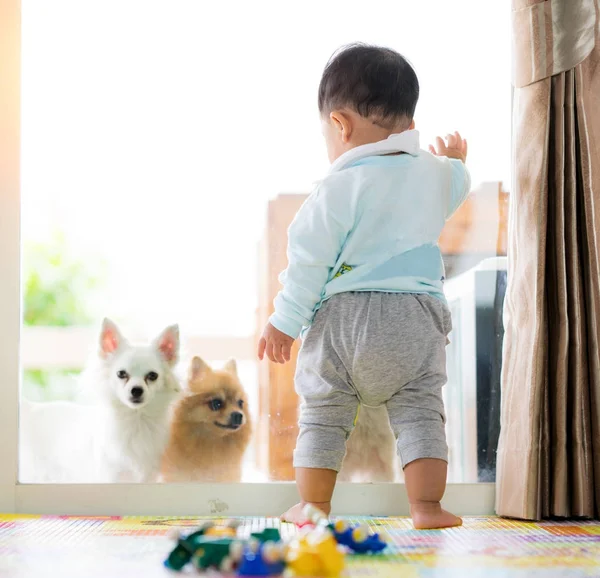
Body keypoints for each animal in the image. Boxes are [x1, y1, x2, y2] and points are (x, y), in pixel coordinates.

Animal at [19, 318, 182, 484]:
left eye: (153, 376)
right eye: (121, 374)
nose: (136, 390)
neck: (135, 420)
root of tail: (31, 409)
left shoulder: (149, 477)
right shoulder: (110, 475)